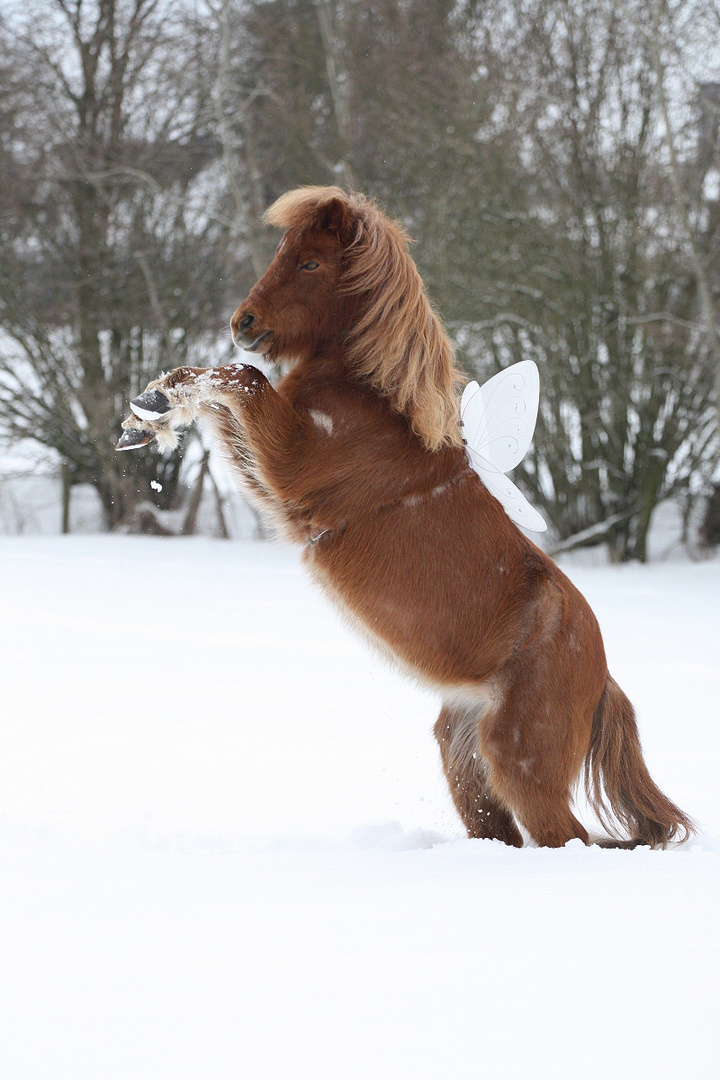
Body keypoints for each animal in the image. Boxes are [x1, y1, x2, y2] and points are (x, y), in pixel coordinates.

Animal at [120, 185, 695, 846]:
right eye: (281, 251)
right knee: (499, 828)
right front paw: (149, 413)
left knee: (567, 837)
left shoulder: (291, 467)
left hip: (521, 764)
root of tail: (602, 677)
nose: (244, 323)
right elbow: (219, 389)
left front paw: (156, 406)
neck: (373, 405)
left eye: (311, 262)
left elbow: (242, 378)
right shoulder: (270, 479)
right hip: (464, 756)